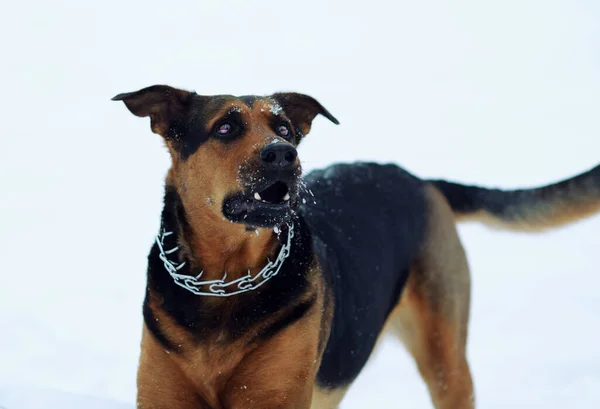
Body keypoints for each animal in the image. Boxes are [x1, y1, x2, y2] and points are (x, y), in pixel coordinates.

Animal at [112, 84, 600, 406]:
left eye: (284, 127)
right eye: (226, 127)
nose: (284, 154)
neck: (227, 280)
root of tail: (419, 181)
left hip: (446, 355)